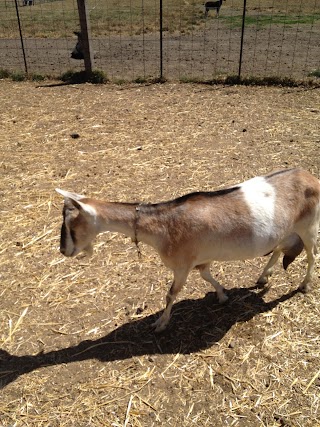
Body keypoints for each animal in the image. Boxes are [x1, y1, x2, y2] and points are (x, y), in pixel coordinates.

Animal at [57, 169, 320, 332]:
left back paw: (304, 285)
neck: (163, 226)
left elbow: (171, 294)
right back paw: (263, 277)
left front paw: (161, 324)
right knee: (278, 249)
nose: (63, 250)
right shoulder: (199, 259)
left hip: (308, 227)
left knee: (311, 255)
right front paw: (223, 295)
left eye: (71, 223)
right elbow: (205, 275)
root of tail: (310, 177)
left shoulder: (181, 265)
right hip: (285, 230)